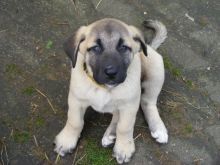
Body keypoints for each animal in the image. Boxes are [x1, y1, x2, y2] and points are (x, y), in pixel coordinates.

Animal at [54, 18, 168, 164]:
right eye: (95, 48)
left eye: (123, 47)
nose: (111, 72)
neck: (104, 88)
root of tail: (150, 47)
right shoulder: (76, 100)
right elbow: (74, 122)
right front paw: (67, 141)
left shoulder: (129, 106)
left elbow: (124, 127)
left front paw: (123, 148)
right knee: (117, 114)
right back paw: (110, 134)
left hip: (155, 70)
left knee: (147, 102)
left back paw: (158, 128)